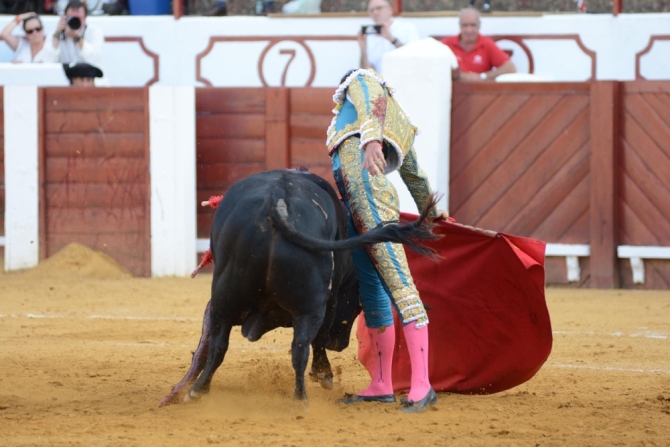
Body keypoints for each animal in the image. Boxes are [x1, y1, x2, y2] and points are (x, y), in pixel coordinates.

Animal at [160, 170, 438, 408]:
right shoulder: (333, 299)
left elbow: (208, 345)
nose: (341, 344)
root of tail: (278, 199)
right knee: (302, 345)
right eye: (357, 303)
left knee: (227, 346)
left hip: (227, 298)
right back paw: (306, 391)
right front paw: (324, 374)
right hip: (309, 305)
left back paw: (202, 390)